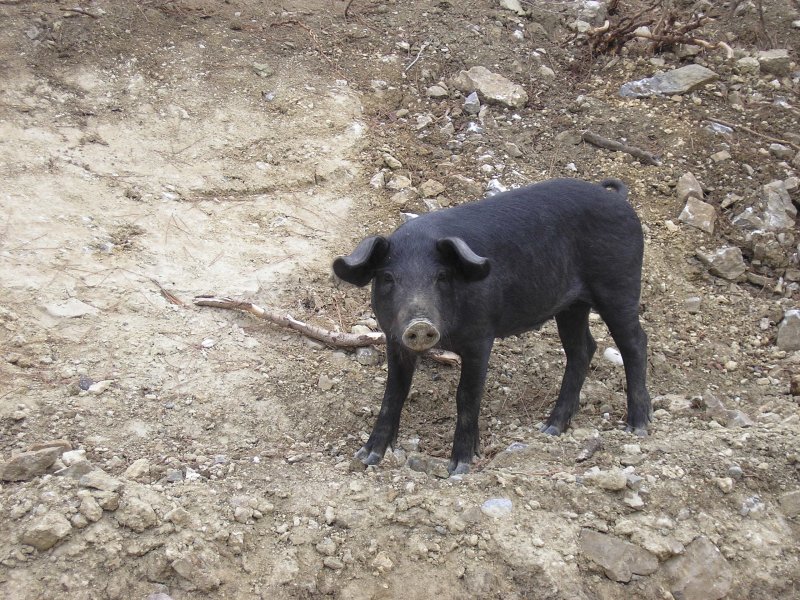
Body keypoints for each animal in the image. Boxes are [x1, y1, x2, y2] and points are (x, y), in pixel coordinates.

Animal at [332, 178, 648, 474]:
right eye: (387, 277)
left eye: (442, 276)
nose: (420, 323)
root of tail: (617, 199)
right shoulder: (394, 339)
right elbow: (393, 393)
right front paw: (367, 456)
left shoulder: (481, 338)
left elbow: (467, 395)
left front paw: (459, 466)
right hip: (572, 305)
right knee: (583, 349)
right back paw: (550, 428)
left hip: (619, 284)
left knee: (635, 343)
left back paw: (637, 426)